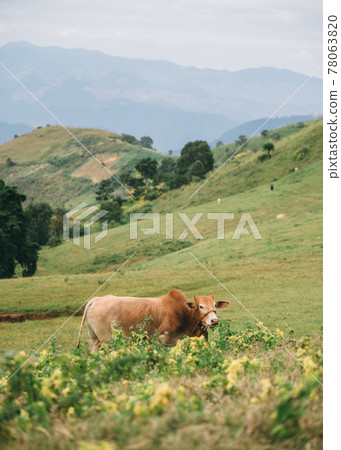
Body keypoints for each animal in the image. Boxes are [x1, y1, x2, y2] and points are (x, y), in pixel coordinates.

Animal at [75, 290, 227, 354]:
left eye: (214, 305)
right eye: (201, 306)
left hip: (94, 339)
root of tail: (97, 299)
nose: (214, 320)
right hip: (108, 340)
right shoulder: (160, 338)